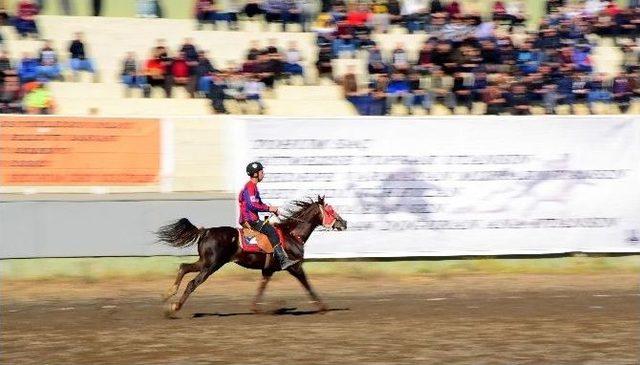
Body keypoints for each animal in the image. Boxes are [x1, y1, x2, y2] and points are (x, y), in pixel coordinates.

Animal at [156, 195, 348, 318]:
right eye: (330, 210)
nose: (344, 223)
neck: (292, 234)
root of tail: (206, 231)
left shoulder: (268, 270)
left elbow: (261, 287)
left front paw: (255, 309)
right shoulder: (295, 266)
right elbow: (308, 285)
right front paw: (323, 307)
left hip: (205, 261)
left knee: (183, 267)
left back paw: (168, 295)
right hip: (212, 265)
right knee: (192, 283)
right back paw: (175, 307)